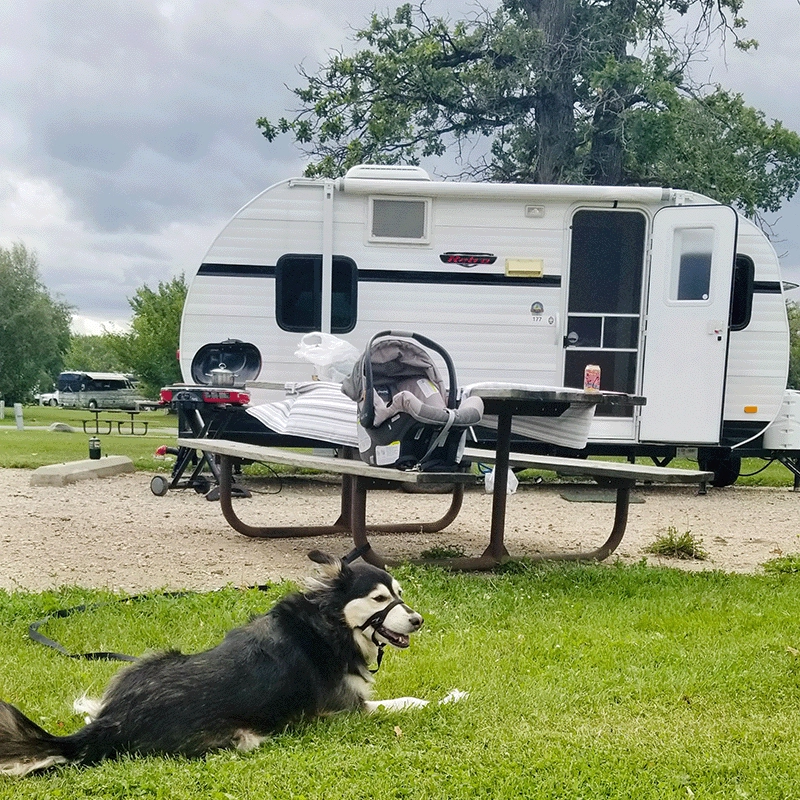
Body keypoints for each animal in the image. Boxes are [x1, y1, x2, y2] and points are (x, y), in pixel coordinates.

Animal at [1, 552, 462, 776]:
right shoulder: (346, 711)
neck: (330, 624)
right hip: (243, 737)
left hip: (152, 659)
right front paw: (450, 697)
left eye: (401, 594)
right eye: (380, 599)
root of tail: (112, 723)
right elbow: (409, 703)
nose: (418, 620)